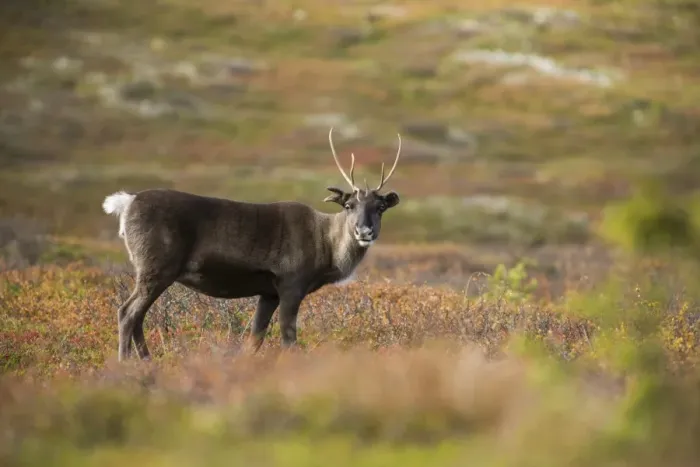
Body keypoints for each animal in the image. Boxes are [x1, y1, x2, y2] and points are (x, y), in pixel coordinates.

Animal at [102, 127, 403, 361]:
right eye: (349, 205)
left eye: (380, 208)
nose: (364, 231)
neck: (326, 245)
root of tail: (127, 202)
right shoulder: (291, 284)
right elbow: (288, 339)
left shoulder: (268, 293)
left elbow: (254, 340)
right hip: (156, 268)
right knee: (127, 313)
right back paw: (125, 364)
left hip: (151, 272)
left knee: (138, 316)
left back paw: (147, 361)